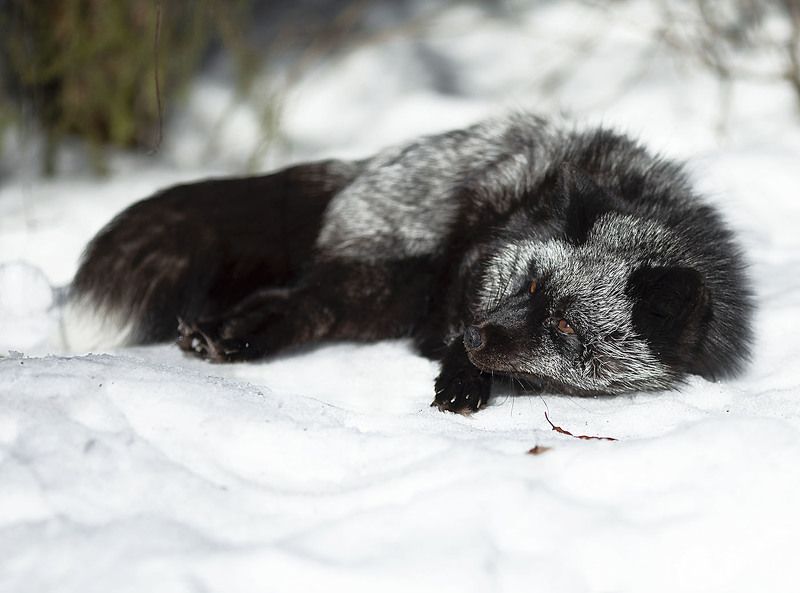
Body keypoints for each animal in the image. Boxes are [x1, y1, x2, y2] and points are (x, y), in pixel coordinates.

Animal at [66, 112, 754, 413]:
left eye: (563, 326)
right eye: (530, 285)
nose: (477, 338)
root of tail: (366, 163)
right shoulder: (481, 263)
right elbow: (466, 319)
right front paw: (460, 376)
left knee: (301, 309)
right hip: (387, 281)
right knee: (293, 302)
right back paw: (222, 335)